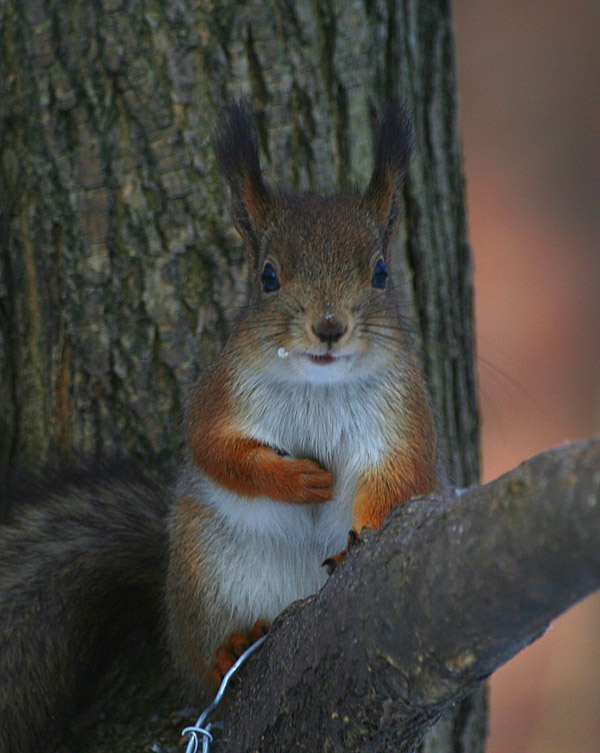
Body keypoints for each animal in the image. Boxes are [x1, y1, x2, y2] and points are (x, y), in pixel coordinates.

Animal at [0, 101, 436, 752]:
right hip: (209, 577)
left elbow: (401, 478)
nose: (329, 327)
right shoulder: (219, 394)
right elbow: (216, 450)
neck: (318, 384)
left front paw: (365, 530)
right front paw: (297, 480)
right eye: (268, 277)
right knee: (204, 674)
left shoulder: (405, 415)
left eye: (381, 272)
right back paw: (229, 648)